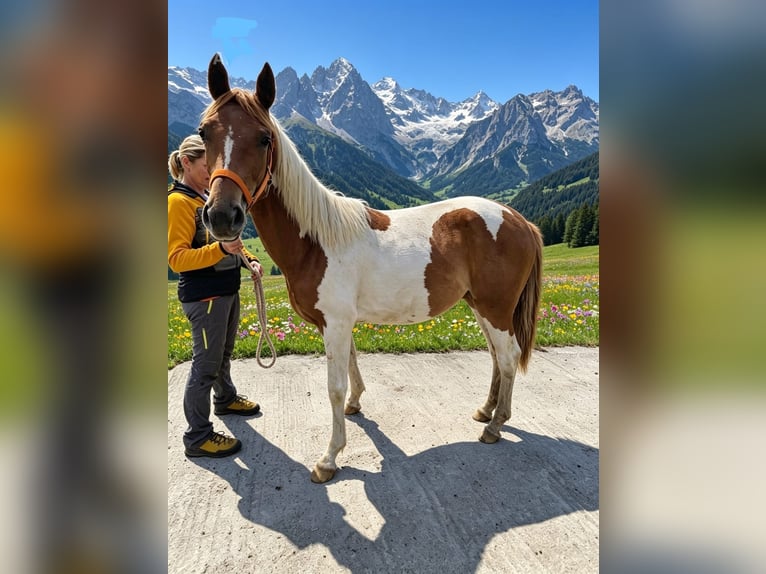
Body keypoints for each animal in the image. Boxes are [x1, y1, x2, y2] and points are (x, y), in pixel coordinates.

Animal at [199, 54, 543, 483]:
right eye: (204, 133)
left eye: (264, 138)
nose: (222, 217)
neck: (316, 242)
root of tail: (519, 219)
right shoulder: (336, 323)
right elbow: (351, 365)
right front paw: (355, 407)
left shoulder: (336, 322)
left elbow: (334, 386)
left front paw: (329, 458)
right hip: (480, 306)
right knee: (498, 358)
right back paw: (486, 412)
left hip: (496, 309)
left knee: (509, 356)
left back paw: (496, 426)